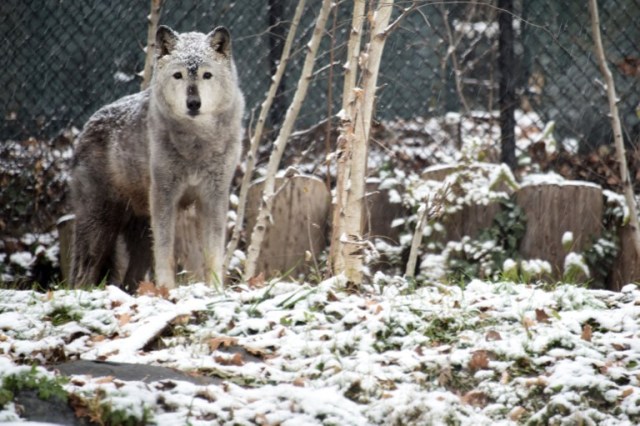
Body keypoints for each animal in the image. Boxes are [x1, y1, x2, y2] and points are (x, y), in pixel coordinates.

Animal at [69, 24, 245, 290]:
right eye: (178, 75)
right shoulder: (165, 196)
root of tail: (86, 128)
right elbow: (165, 251)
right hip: (100, 227)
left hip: (139, 234)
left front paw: (214, 290)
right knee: (83, 274)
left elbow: (212, 253)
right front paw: (167, 290)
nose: (193, 103)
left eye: (206, 75)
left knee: (129, 280)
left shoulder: (213, 197)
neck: (196, 144)